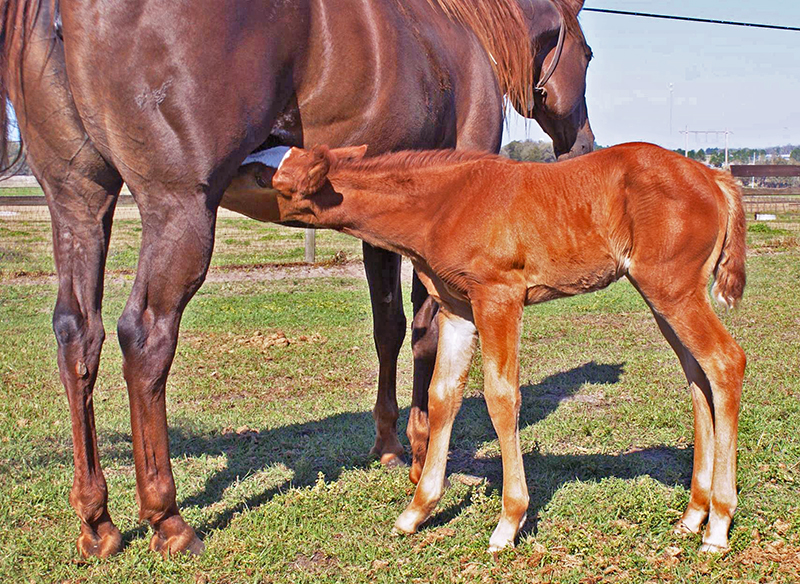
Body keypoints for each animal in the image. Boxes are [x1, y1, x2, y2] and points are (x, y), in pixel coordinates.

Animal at [0, 0, 592, 557]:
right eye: (587, 56)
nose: (585, 148)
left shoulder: (384, 226)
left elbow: (389, 328)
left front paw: (389, 444)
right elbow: (427, 336)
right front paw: (422, 453)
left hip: (78, 200)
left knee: (79, 335)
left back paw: (96, 521)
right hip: (180, 207)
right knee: (145, 337)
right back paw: (168, 521)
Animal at [238, 141, 747, 553]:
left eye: (262, 176)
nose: (226, 172)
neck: (444, 203)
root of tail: (715, 178)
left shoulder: (499, 297)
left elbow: (502, 398)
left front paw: (508, 522)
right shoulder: (457, 309)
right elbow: (442, 397)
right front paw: (416, 511)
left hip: (672, 289)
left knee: (725, 362)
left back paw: (718, 525)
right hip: (663, 295)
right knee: (698, 378)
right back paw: (692, 515)